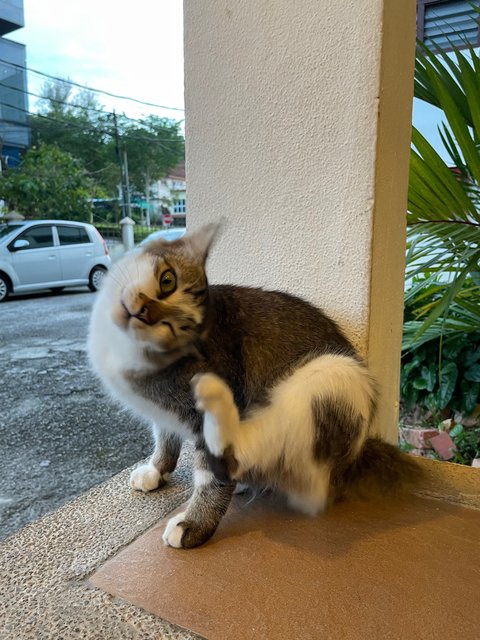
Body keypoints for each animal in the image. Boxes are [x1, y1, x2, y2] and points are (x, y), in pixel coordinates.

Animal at [88, 222, 422, 548]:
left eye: (176, 326)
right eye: (167, 280)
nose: (143, 312)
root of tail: (357, 459)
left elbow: (211, 478)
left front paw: (195, 524)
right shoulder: (163, 412)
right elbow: (165, 436)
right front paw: (156, 469)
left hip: (331, 373)